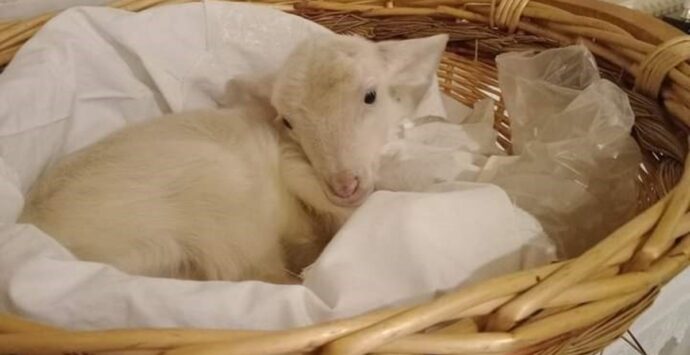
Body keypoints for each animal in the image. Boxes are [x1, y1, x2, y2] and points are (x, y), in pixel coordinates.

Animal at [18, 33, 448, 284]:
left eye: (371, 95)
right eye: (288, 121)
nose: (344, 184)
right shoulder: (294, 166)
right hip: (223, 209)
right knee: (259, 274)